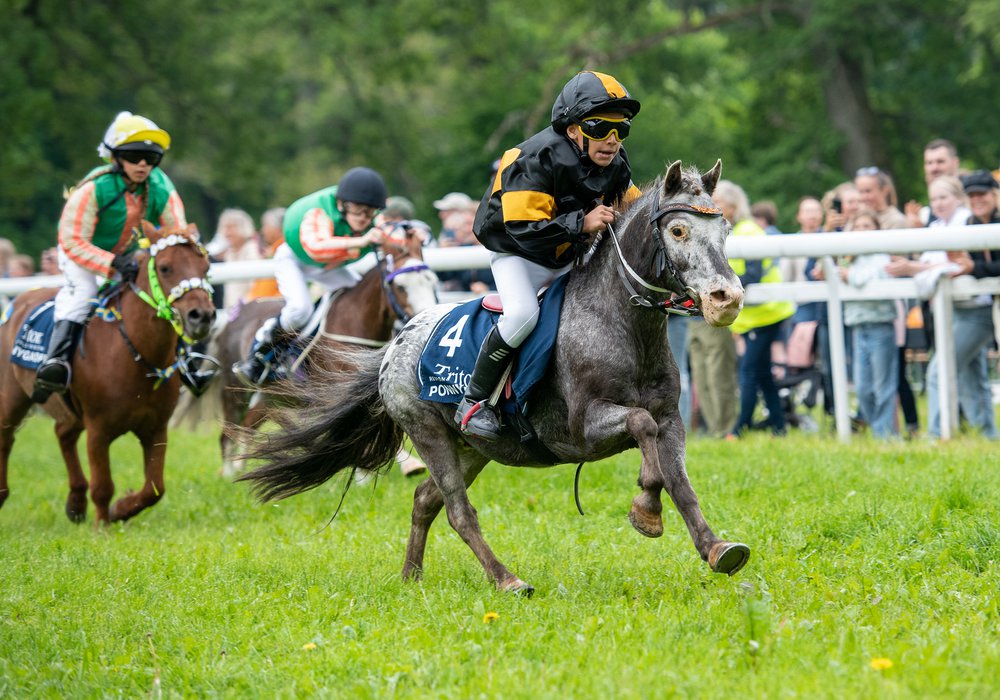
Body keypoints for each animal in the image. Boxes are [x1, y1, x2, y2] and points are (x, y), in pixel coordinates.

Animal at [0, 223, 217, 524]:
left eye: (206, 267)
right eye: (164, 268)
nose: (202, 316)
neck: (134, 354)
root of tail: (18, 299)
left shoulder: (156, 427)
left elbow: (154, 488)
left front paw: (121, 509)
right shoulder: (98, 429)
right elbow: (103, 486)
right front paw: (102, 525)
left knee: (63, 432)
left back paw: (76, 502)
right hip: (12, 395)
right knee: (6, 436)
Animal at [238, 161, 748, 592]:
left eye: (725, 229)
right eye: (678, 229)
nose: (727, 299)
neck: (619, 322)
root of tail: (394, 346)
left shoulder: (671, 419)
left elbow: (679, 481)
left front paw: (717, 547)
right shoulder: (586, 426)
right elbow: (641, 428)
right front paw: (646, 509)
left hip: (474, 448)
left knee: (425, 499)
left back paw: (411, 576)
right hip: (427, 432)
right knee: (458, 511)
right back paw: (506, 579)